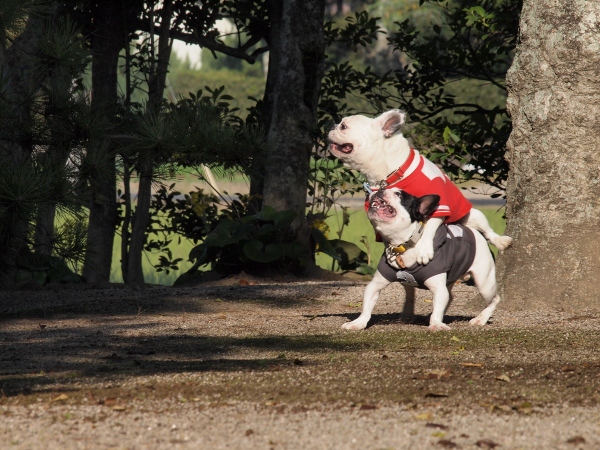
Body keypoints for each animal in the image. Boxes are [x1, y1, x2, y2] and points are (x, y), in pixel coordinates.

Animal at [328, 109, 512, 267]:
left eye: (344, 126)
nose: (332, 126)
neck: (392, 172)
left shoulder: (439, 205)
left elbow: (430, 226)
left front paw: (424, 250)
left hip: (474, 216)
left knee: (487, 231)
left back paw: (500, 241)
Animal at [342, 188, 500, 331]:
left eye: (399, 194)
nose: (379, 190)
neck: (403, 245)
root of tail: (477, 233)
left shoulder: (438, 287)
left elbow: (438, 305)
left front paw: (436, 324)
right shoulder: (375, 285)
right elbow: (367, 305)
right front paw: (358, 323)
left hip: (484, 283)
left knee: (495, 298)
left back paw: (480, 319)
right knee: (449, 296)